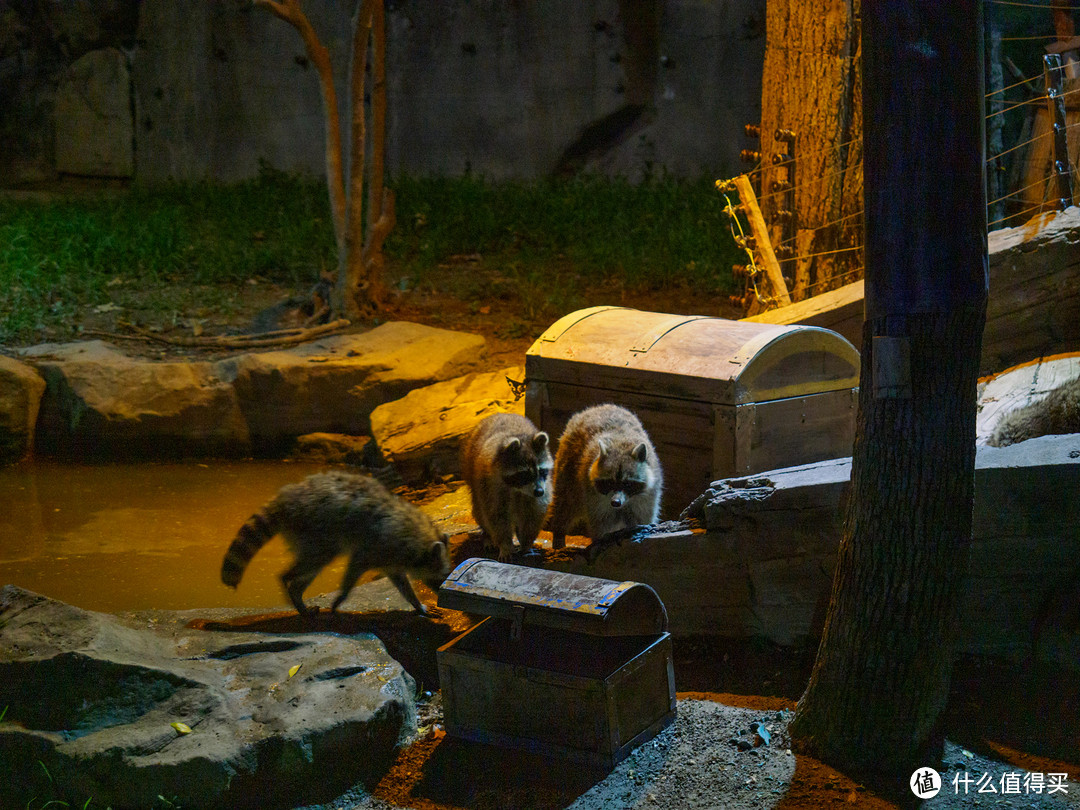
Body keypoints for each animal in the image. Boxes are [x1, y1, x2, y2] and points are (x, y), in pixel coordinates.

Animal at [221, 468, 449, 613]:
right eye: (441, 576)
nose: (441, 595)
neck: (418, 536)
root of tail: (285, 499)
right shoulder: (376, 546)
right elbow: (353, 570)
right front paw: (342, 597)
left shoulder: (392, 557)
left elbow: (401, 582)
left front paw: (416, 604)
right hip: (312, 531)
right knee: (308, 564)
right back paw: (289, 585)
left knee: (311, 568)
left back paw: (297, 592)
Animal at [460, 414, 552, 561]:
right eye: (524, 474)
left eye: (542, 471)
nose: (539, 492)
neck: (517, 489)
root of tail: (498, 414)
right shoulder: (490, 485)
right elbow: (496, 515)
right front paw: (505, 545)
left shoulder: (543, 489)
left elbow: (533, 514)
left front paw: (526, 543)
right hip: (471, 472)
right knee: (480, 510)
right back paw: (487, 536)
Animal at [544, 406, 660, 552]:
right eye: (610, 483)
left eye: (627, 484)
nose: (615, 502)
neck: (621, 445)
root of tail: (594, 408)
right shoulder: (593, 495)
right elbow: (601, 521)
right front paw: (600, 540)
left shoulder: (648, 495)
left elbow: (642, 518)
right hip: (567, 468)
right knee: (565, 504)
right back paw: (559, 534)